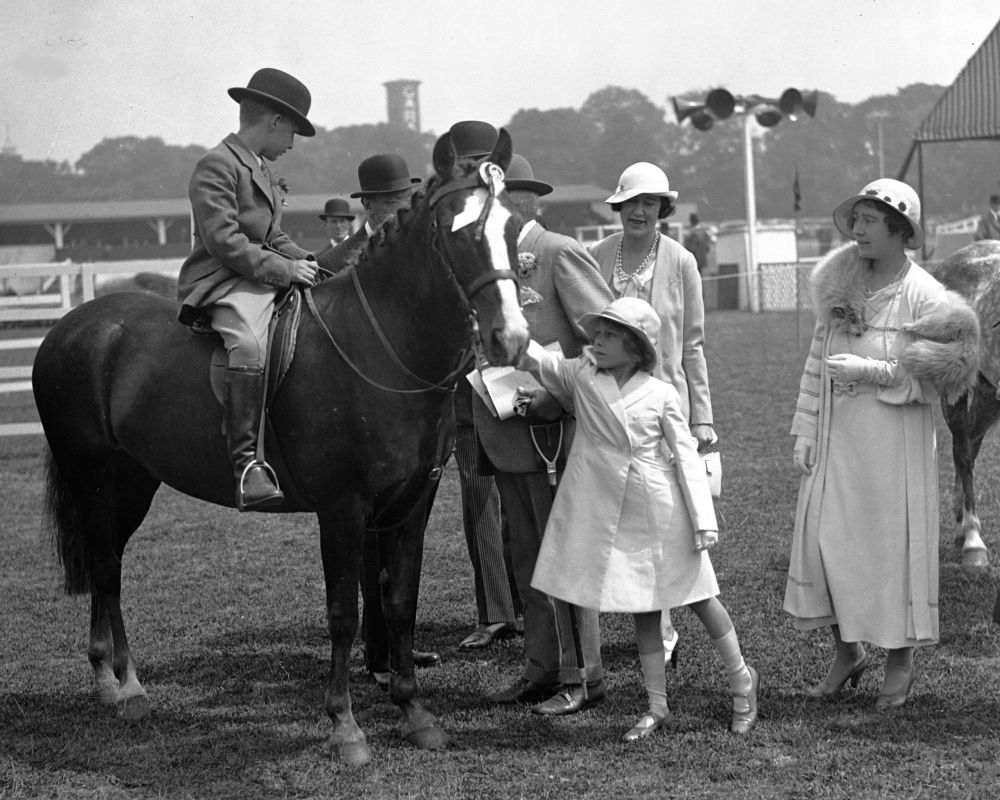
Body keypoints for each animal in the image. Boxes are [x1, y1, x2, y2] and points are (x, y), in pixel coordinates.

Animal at [31, 131, 528, 768]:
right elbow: (343, 613)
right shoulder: (342, 508)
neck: (380, 344)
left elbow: (400, 604)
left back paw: (117, 681)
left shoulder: (412, 502)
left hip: (134, 483)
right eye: (458, 231)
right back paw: (121, 686)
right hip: (92, 480)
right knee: (105, 569)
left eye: (514, 227)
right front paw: (345, 727)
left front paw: (415, 713)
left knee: (107, 564)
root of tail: (74, 324)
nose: (510, 338)